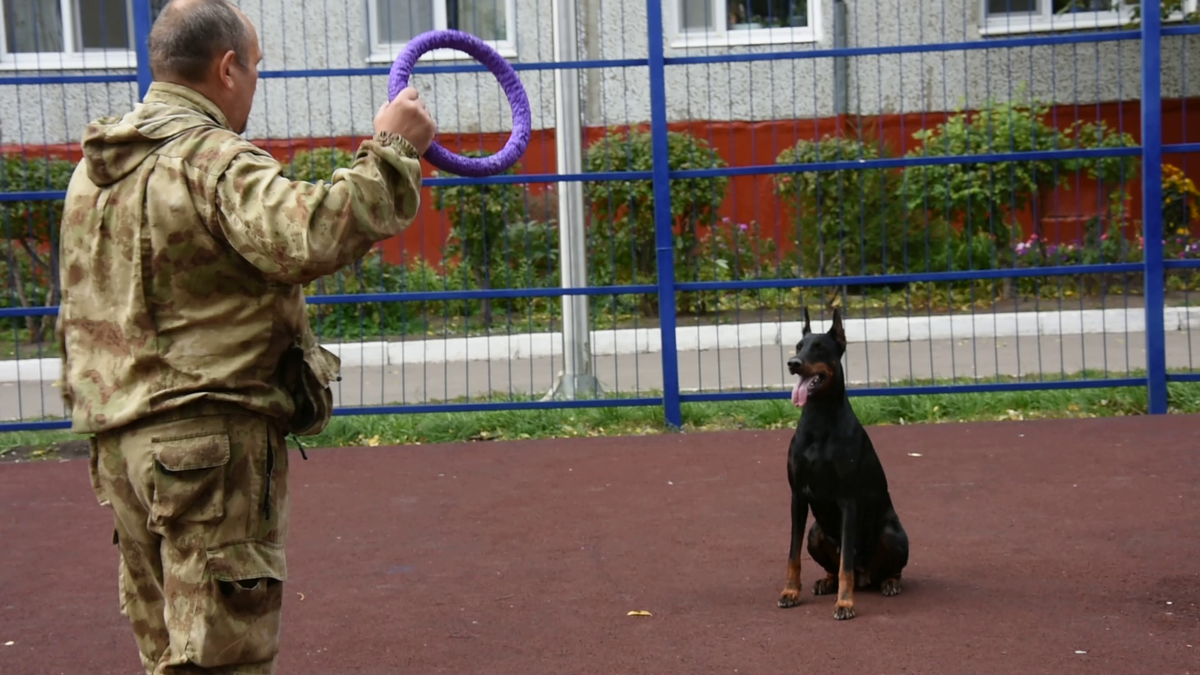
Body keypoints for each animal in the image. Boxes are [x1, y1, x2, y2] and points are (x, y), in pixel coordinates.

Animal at [777, 307, 907, 619]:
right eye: (799, 346)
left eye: (820, 347)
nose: (793, 363)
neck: (819, 419)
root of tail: (865, 577)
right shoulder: (797, 496)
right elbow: (793, 553)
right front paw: (790, 591)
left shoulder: (848, 500)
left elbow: (846, 560)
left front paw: (845, 602)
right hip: (816, 532)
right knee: (831, 566)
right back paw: (826, 581)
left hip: (892, 533)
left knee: (881, 569)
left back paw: (889, 582)